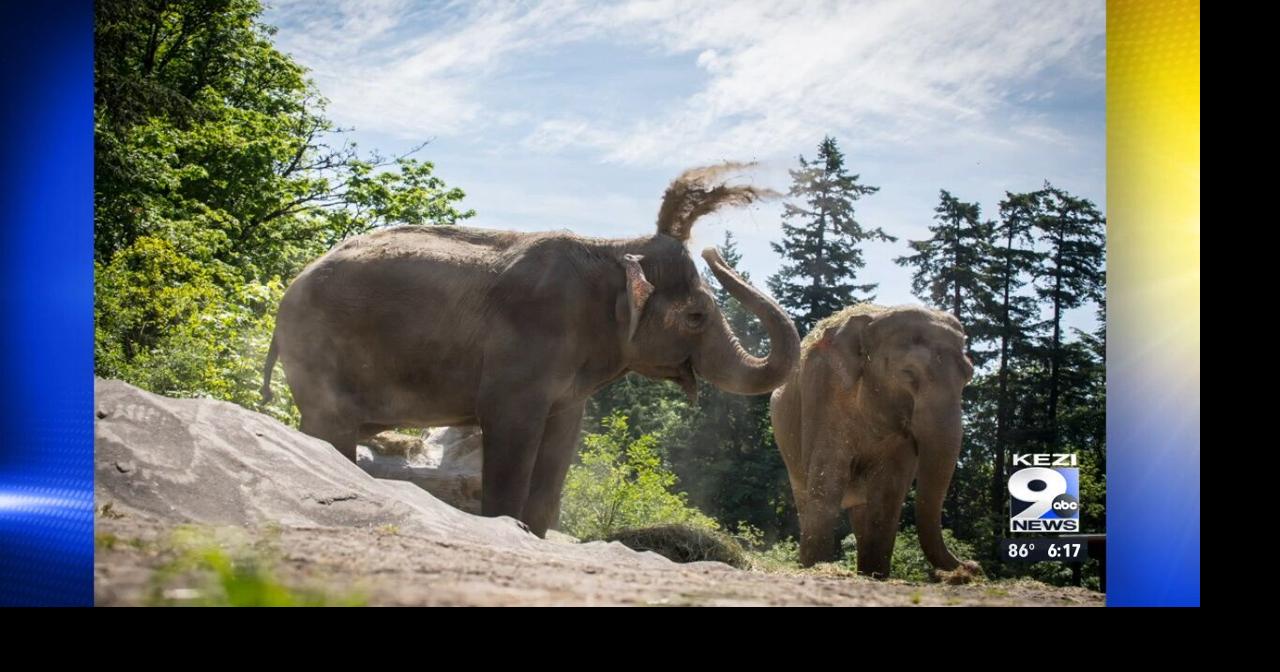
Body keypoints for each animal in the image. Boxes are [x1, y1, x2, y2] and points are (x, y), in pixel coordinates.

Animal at [261, 162, 801, 537]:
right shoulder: (526, 344)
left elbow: (562, 443)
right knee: (329, 429)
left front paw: (534, 533)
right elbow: (510, 431)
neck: (612, 249)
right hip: (317, 349)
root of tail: (289, 291)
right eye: (696, 317)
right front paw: (505, 526)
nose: (713, 250)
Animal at [769, 303, 980, 579]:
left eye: (968, 375)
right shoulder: (823, 394)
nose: (972, 566)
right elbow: (827, 479)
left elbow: (888, 491)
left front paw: (875, 574)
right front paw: (817, 567)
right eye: (908, 373)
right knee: (805, 498)